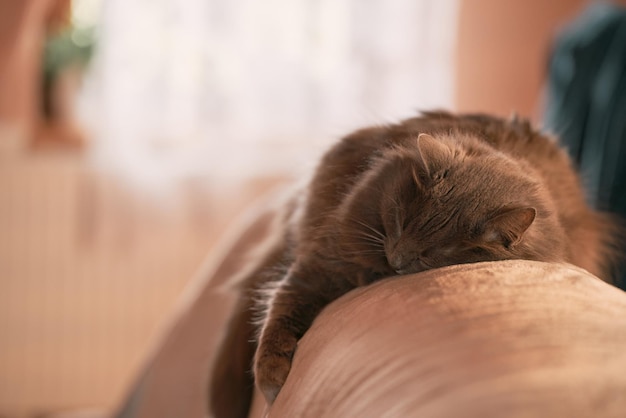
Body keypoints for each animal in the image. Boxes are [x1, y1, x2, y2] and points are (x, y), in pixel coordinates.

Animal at [208, 111, 616, 418]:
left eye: (430, 254)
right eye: (401, 222)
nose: (397, 259)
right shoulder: (324, 263)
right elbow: (280, 312)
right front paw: (272, 378)